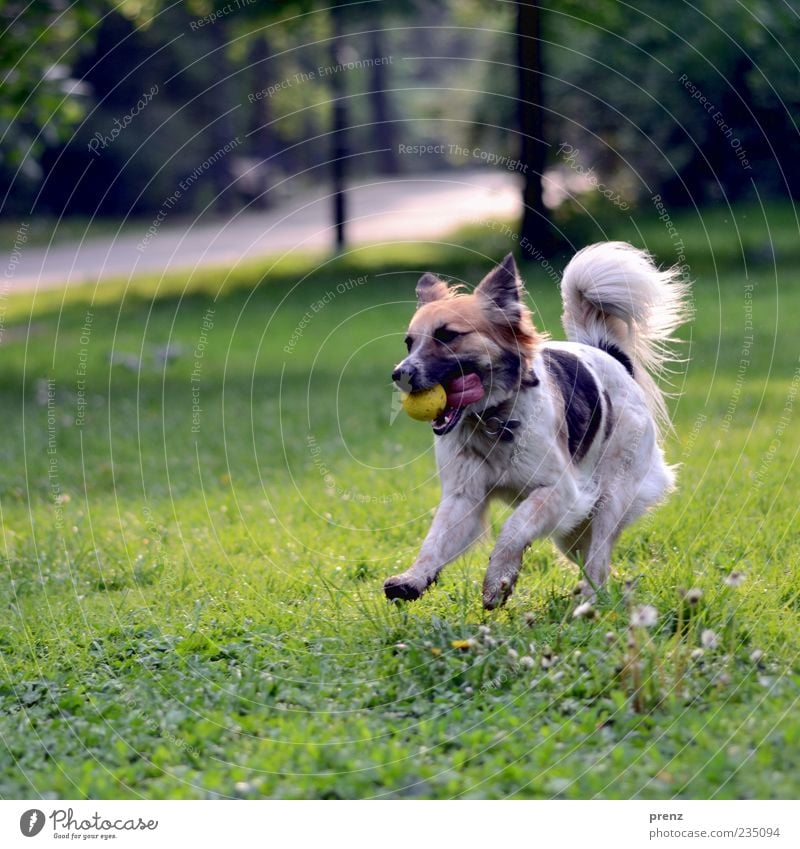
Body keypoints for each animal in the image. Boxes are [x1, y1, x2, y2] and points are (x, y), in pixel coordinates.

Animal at [384, 242, 692, 608]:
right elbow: (435, 541)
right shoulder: (463, 498)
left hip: (610, 496)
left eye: (447, 335)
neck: (492, 420)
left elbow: (513, 529)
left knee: (599, 559)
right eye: (409, 342)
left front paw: (498, 578)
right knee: (592, 559)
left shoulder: (561, 490)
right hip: (573, 530)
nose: (399, 374)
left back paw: (589, 603)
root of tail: (611, 357)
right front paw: (413, 578)